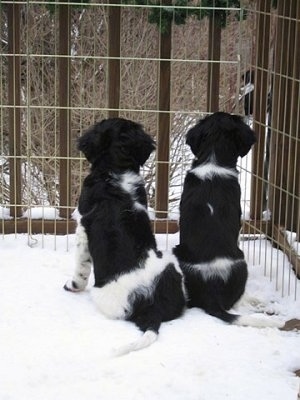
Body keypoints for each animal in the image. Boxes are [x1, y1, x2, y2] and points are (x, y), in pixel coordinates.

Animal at [63, 117, 185, 354]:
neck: (116, 168)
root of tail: (152, 308)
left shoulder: (82, 227)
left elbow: (81, 267)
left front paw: (72, 286)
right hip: (171, 268)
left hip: (103, 296)